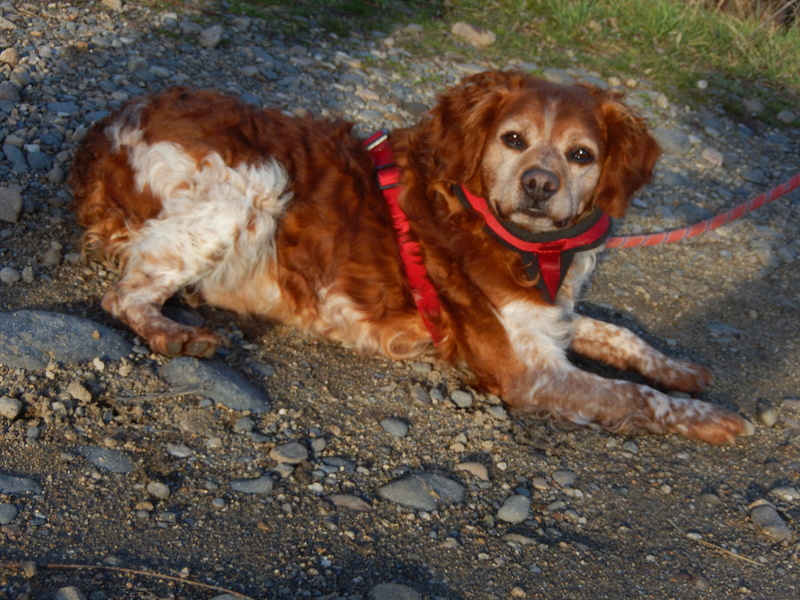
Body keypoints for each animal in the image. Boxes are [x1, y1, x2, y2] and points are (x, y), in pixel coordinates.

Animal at [69, 71, 752, 446]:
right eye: (513, 139)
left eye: (582, 155)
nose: (538, 184)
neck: (528, 244)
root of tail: (109, 127)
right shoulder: (528, 374)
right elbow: (635, 398)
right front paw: (714, 417)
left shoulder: (545, 322)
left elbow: (617, 333)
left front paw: (681, 369)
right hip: (253, 184)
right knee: (122, 295)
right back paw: (175, 334)